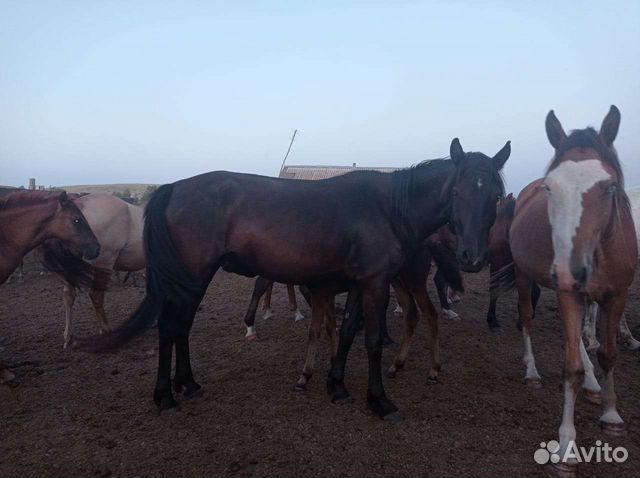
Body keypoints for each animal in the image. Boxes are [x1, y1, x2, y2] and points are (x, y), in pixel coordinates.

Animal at [41, 193, 145, 348]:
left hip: (69, 269)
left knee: (68, 296)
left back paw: (68, 337)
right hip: (104, 262)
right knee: (96, 295)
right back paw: (106, 330)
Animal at [81, 136, 510, 420]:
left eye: (495, 196)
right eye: (457, 192)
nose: (473, 257)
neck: (389, 207)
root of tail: (174, 188)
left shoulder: (359, 283)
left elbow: (348, 331)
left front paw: (336, 385)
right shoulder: (375, 282)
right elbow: (371, 341)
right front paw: (379, 400)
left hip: (193, 280)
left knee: (180, 327)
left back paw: (188, 385)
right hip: (191, 276)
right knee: (170, 327)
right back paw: (166, 397)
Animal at [498, 107, 632, 478]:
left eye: (610, 187)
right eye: (550, 187)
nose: (568, 271)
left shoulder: (617, 296)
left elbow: (609, 354)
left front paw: (611, 413)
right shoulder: (568, 293)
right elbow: (570, 368)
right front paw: (566, 447)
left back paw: (594, 386)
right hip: (527, 278)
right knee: (528, 319)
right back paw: (532, 372)